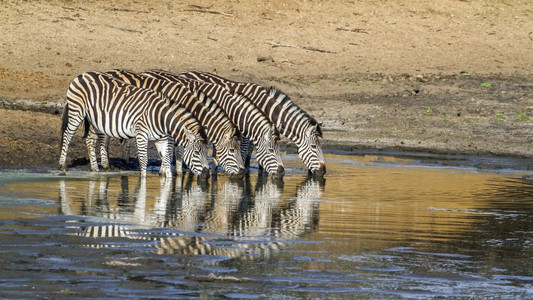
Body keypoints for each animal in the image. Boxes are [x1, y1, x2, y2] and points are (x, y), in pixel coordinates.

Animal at [58, 70, 208, 178]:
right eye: (196, 152)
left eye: (206, 152)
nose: (207, 175)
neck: (161, 118)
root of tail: (83, 74)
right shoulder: (141, 135)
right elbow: (144, 160)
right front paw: (143, 182)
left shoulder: (162, 140)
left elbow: (165, 160)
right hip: (77, 112)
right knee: (67, 135)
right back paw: (63, 165)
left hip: (94, 119)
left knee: (90, 140)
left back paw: (95, 168)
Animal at [96, 69, 244, 178]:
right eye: (232, 150)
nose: (242, 173)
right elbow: (172, 148)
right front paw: (167, 171)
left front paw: (175, 171)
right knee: (103, 136)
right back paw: (105, 164)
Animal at [179, 70, 326, 176]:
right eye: (314, 147)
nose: (323, 171)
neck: (265, 107)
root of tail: (183, 73)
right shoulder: (244, 132)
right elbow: (244, 152)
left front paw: (261, 171)